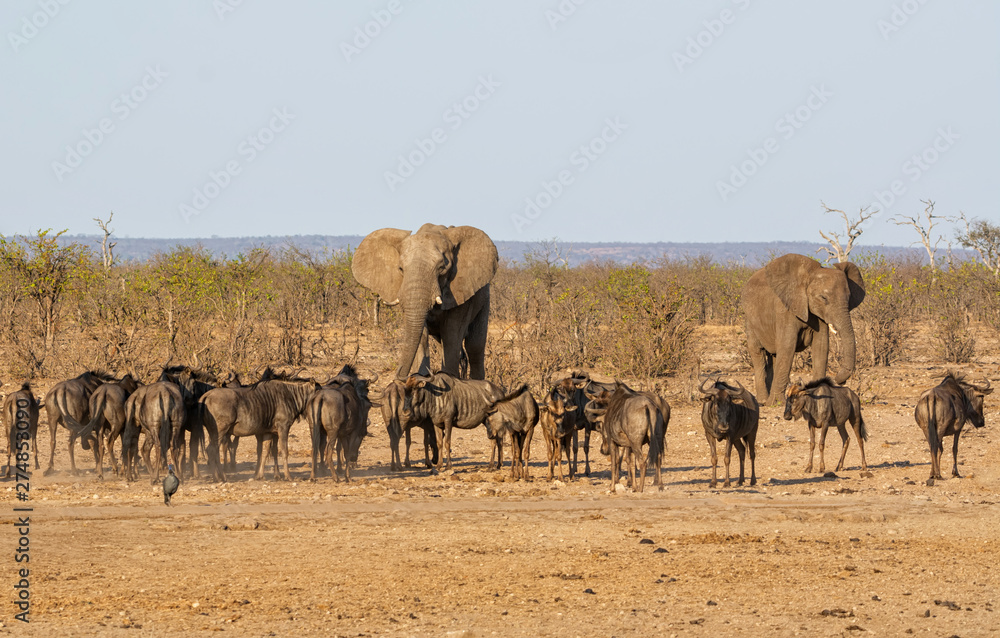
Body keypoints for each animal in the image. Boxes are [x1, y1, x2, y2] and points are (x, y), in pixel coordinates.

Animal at [352, 225, 500, 382]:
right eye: (400, 269)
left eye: (442, 268)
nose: (401, 375)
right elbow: (421, 335)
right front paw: (422, 377)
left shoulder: (461, 291)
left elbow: (452, 334)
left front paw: (448, 379)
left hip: (484, 300)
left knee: (474, 345)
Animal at [740, 254, 864, 404]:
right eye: (823, 298)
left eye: (849, 298)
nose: (839, 380)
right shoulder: (785, 309)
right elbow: (788, 345)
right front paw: (776, 403)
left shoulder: (819, 314)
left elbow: (821, 346)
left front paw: (819, 395)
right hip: (749, 319)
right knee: (758, 353)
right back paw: (763, 400)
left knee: (774, 355)